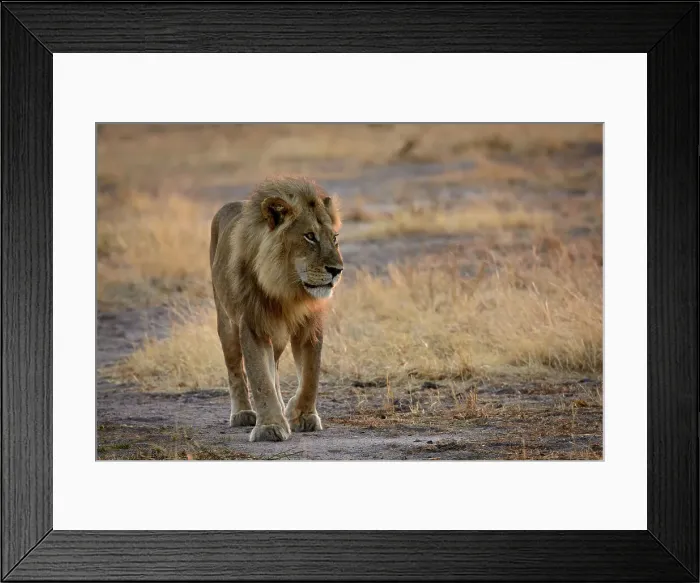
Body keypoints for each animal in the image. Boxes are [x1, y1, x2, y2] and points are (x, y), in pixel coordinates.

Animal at [209, 176, 343, 442]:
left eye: (334, 238)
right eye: (310, 236)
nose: (337, 270)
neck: (288, 290)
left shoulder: (310, 325)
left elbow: (311, 375)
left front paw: (301, 414)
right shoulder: (252, 325)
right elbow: (260, 378)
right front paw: (269, 426)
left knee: (276, 369)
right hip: (226, 323)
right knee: (236, 370)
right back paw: (243, 413)